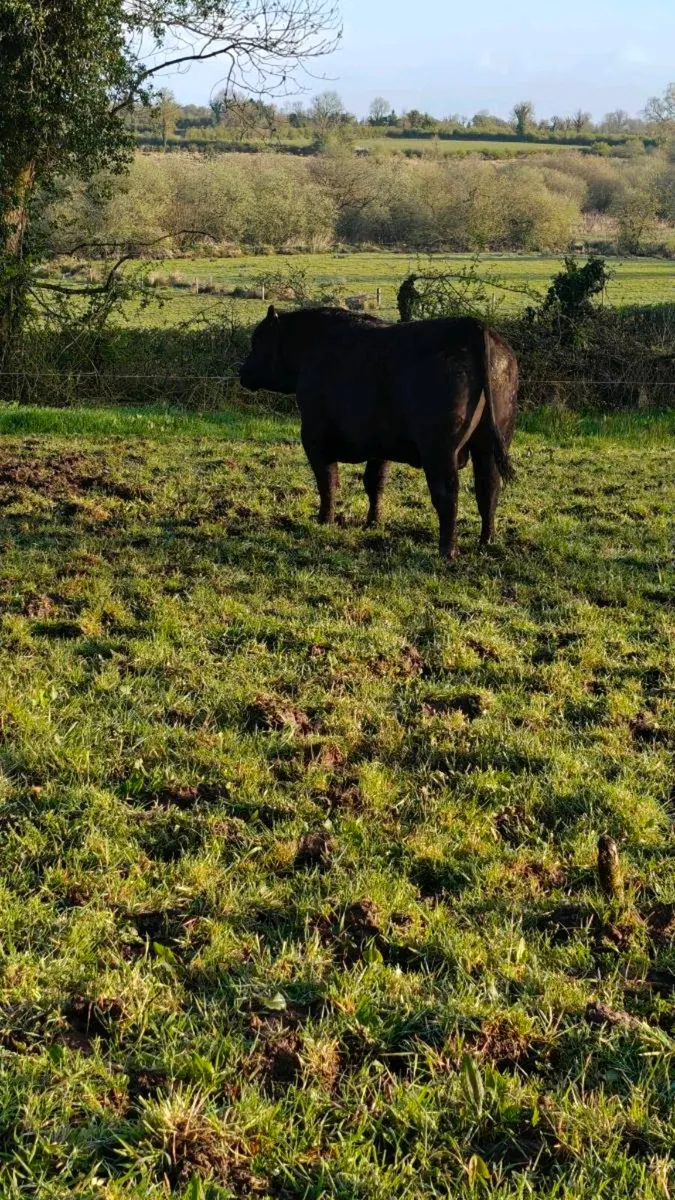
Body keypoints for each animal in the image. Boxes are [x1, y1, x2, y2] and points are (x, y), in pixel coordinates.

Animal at [239, 306, 518, 560]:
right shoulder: (380, 444)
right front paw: (373, 522)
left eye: (257, 342)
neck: (310, 349)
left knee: (447, 494)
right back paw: (487, 540)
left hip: (439, 450)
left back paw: (447, 550)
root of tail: (470, 325)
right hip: (489, 445)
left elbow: (327, 482)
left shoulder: (314, 437)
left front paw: (324, 520)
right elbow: (375, 483)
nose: (242, 372)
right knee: (489, 488)